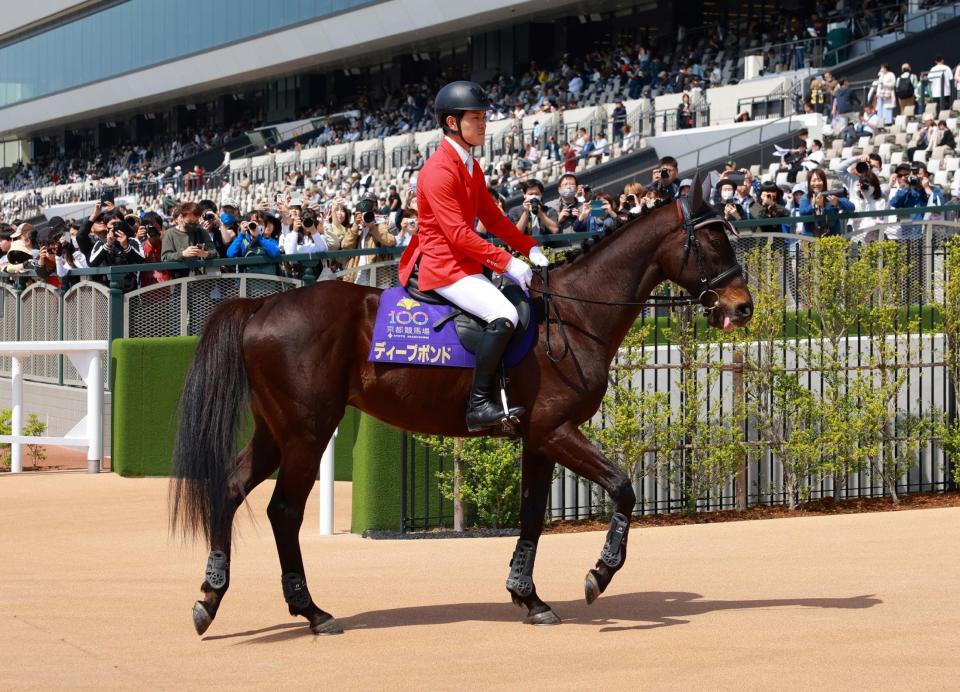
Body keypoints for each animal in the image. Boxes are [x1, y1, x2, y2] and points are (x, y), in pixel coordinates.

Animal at [171, 185, 753, 635]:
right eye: (712, 241)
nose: (743, 306)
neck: (572, 313)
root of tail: (262, 304)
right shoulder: (556, 429)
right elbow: (622, 487)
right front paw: (599, 574)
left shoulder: (539, 438)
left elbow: (532, 515)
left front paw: (528, 597)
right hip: (306, 435)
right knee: (284, 513)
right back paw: (311, 612)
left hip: (277, 432)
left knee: (230, 490)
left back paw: (209, 598)